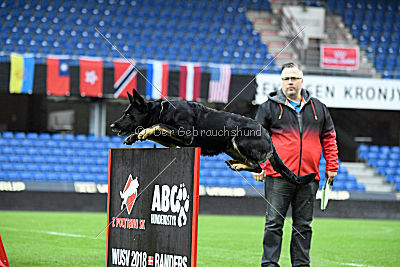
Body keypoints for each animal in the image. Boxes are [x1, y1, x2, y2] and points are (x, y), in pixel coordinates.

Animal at [109, 89, 316, 184]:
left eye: (128, 115)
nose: (112, 125)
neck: (161, 110)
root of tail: (269, 137)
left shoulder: (186, 135)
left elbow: (157, 125)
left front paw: (143, 131)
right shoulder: (173, 142)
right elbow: (156, 130)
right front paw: (134, 136)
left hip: (240, 139)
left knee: (257, 166)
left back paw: (238, 165)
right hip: (230, 148)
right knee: (252, 164)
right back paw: (236, 164)